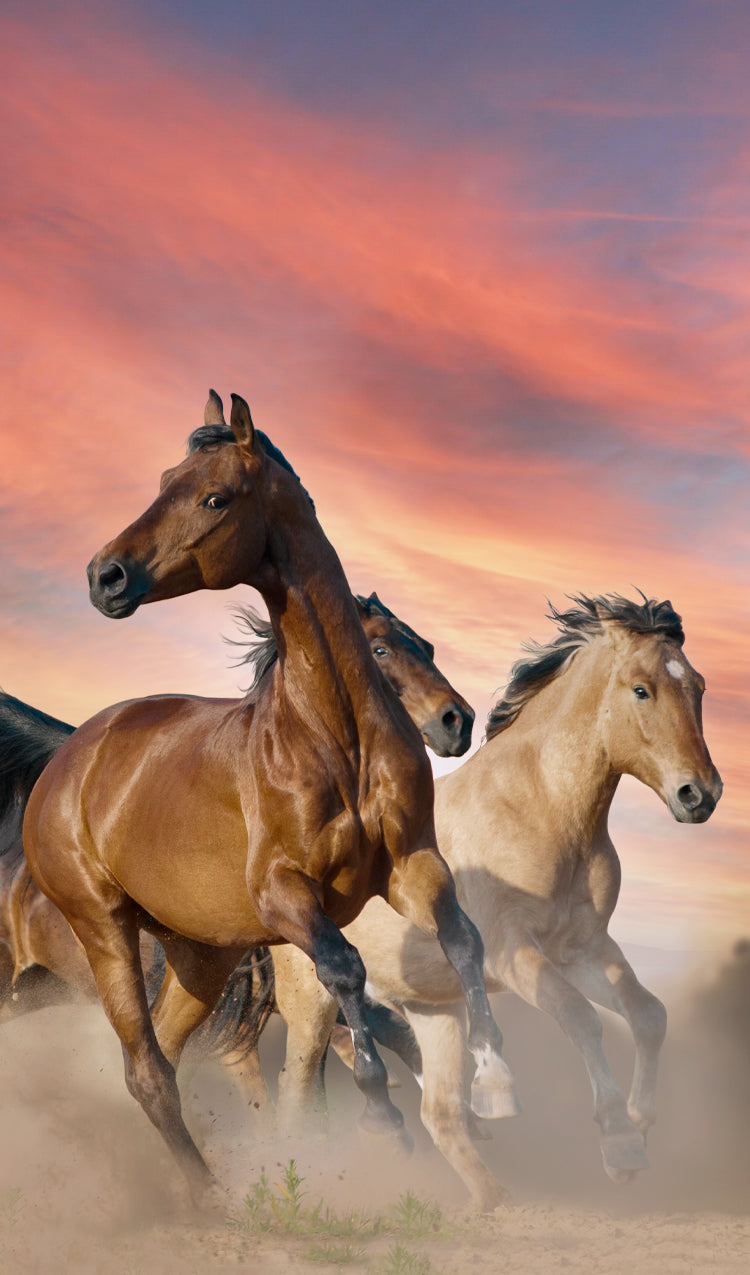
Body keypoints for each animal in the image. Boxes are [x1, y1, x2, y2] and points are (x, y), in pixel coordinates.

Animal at [263, 593, 722, 1209]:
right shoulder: (513, 954)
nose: (701, 794)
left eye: (697, 685)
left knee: (439, 1111)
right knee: (298, 1092)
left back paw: (491, 1198)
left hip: (435, 1012)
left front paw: (641, 1121)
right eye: (641, 689)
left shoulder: (584, 948)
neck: (541, 807)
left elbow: (649, 1014)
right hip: (312, 1008)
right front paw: (620, 1143)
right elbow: (581, 1018)